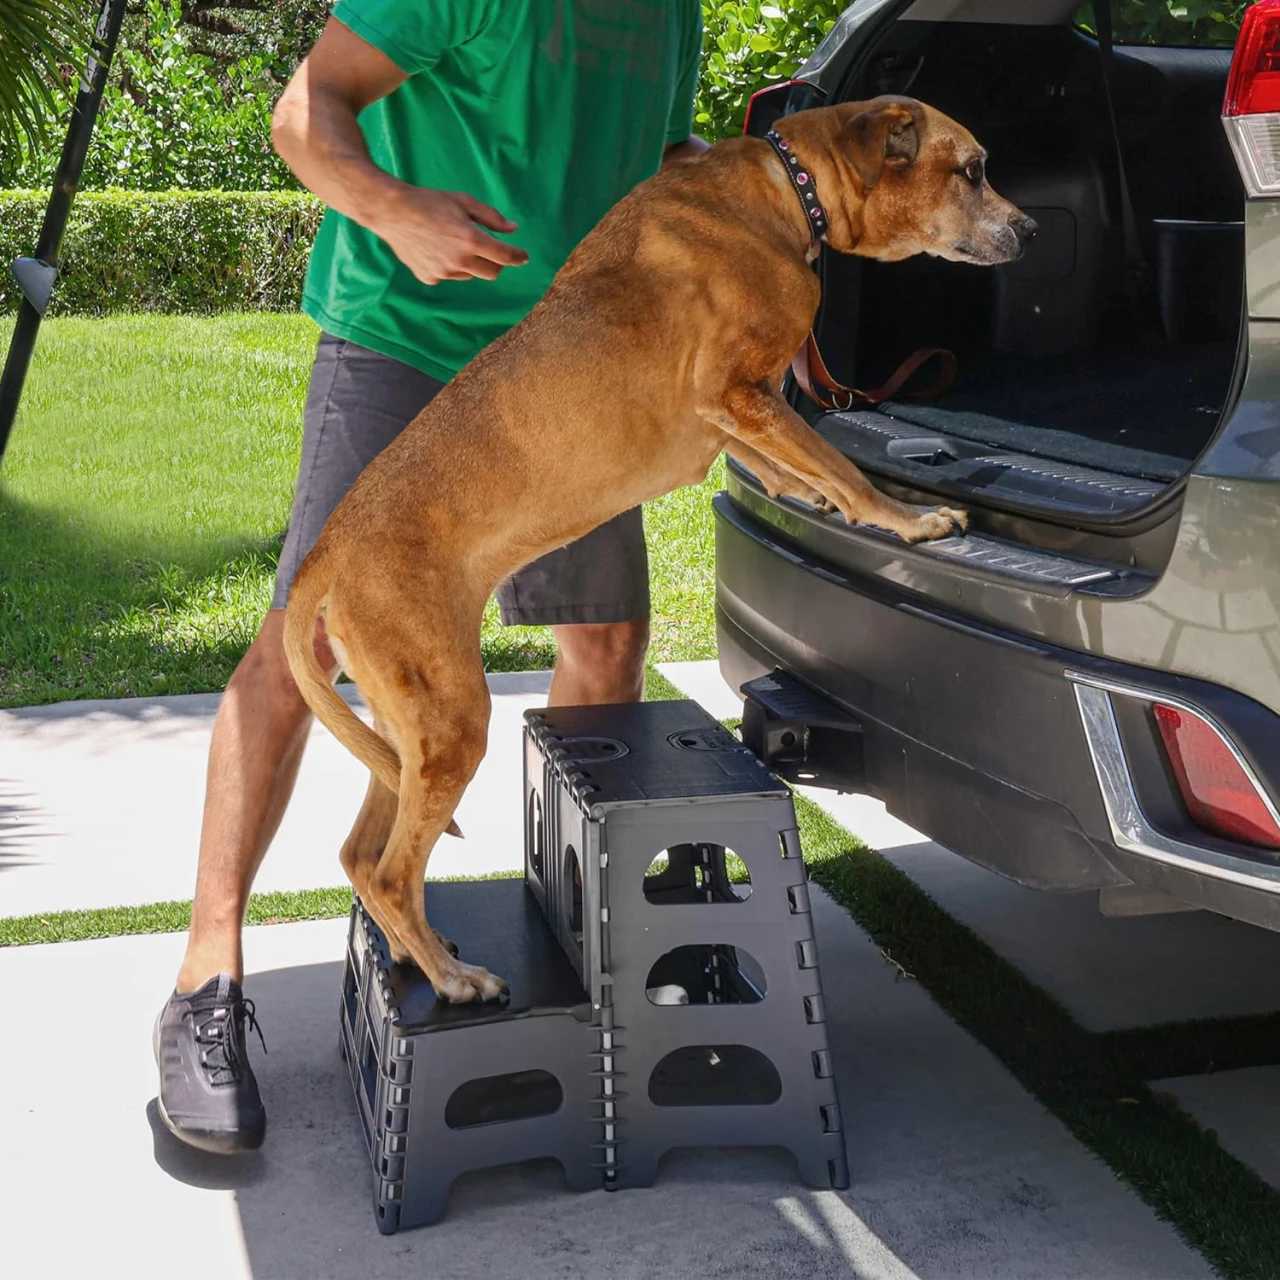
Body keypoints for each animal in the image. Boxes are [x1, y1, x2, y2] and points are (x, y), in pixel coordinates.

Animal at [280, 97, 1029, 998]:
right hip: (451, 719)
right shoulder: (734, 389)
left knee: (362, 856)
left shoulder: (729, 412)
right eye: (972, 170)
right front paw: (904, 517)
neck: (791, 189)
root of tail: (327, 552)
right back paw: (456, 978)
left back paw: (408, 955)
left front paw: (813, 495)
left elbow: (788, 464)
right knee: (392, 871)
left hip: (407, 733)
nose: (1030, 230)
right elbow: (843, 468)